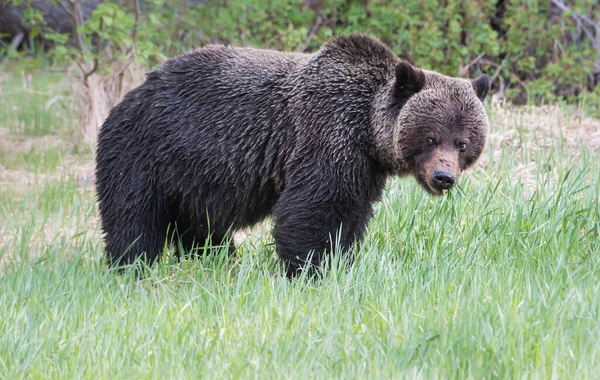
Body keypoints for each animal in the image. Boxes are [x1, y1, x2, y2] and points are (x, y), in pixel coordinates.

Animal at [94, 34, 488, 278]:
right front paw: (310, 270)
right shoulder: (327, 135)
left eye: (463, 142)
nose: (443, 177)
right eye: (431, 137)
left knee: (201, 228)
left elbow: (352, 216)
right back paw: (131, 268)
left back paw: (215, 262)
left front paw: (341, 261)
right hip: (143, 153)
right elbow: (313, 209)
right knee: (133, 218)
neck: (368, 132)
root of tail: (131, 94)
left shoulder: (364, 168)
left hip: (193, 178)